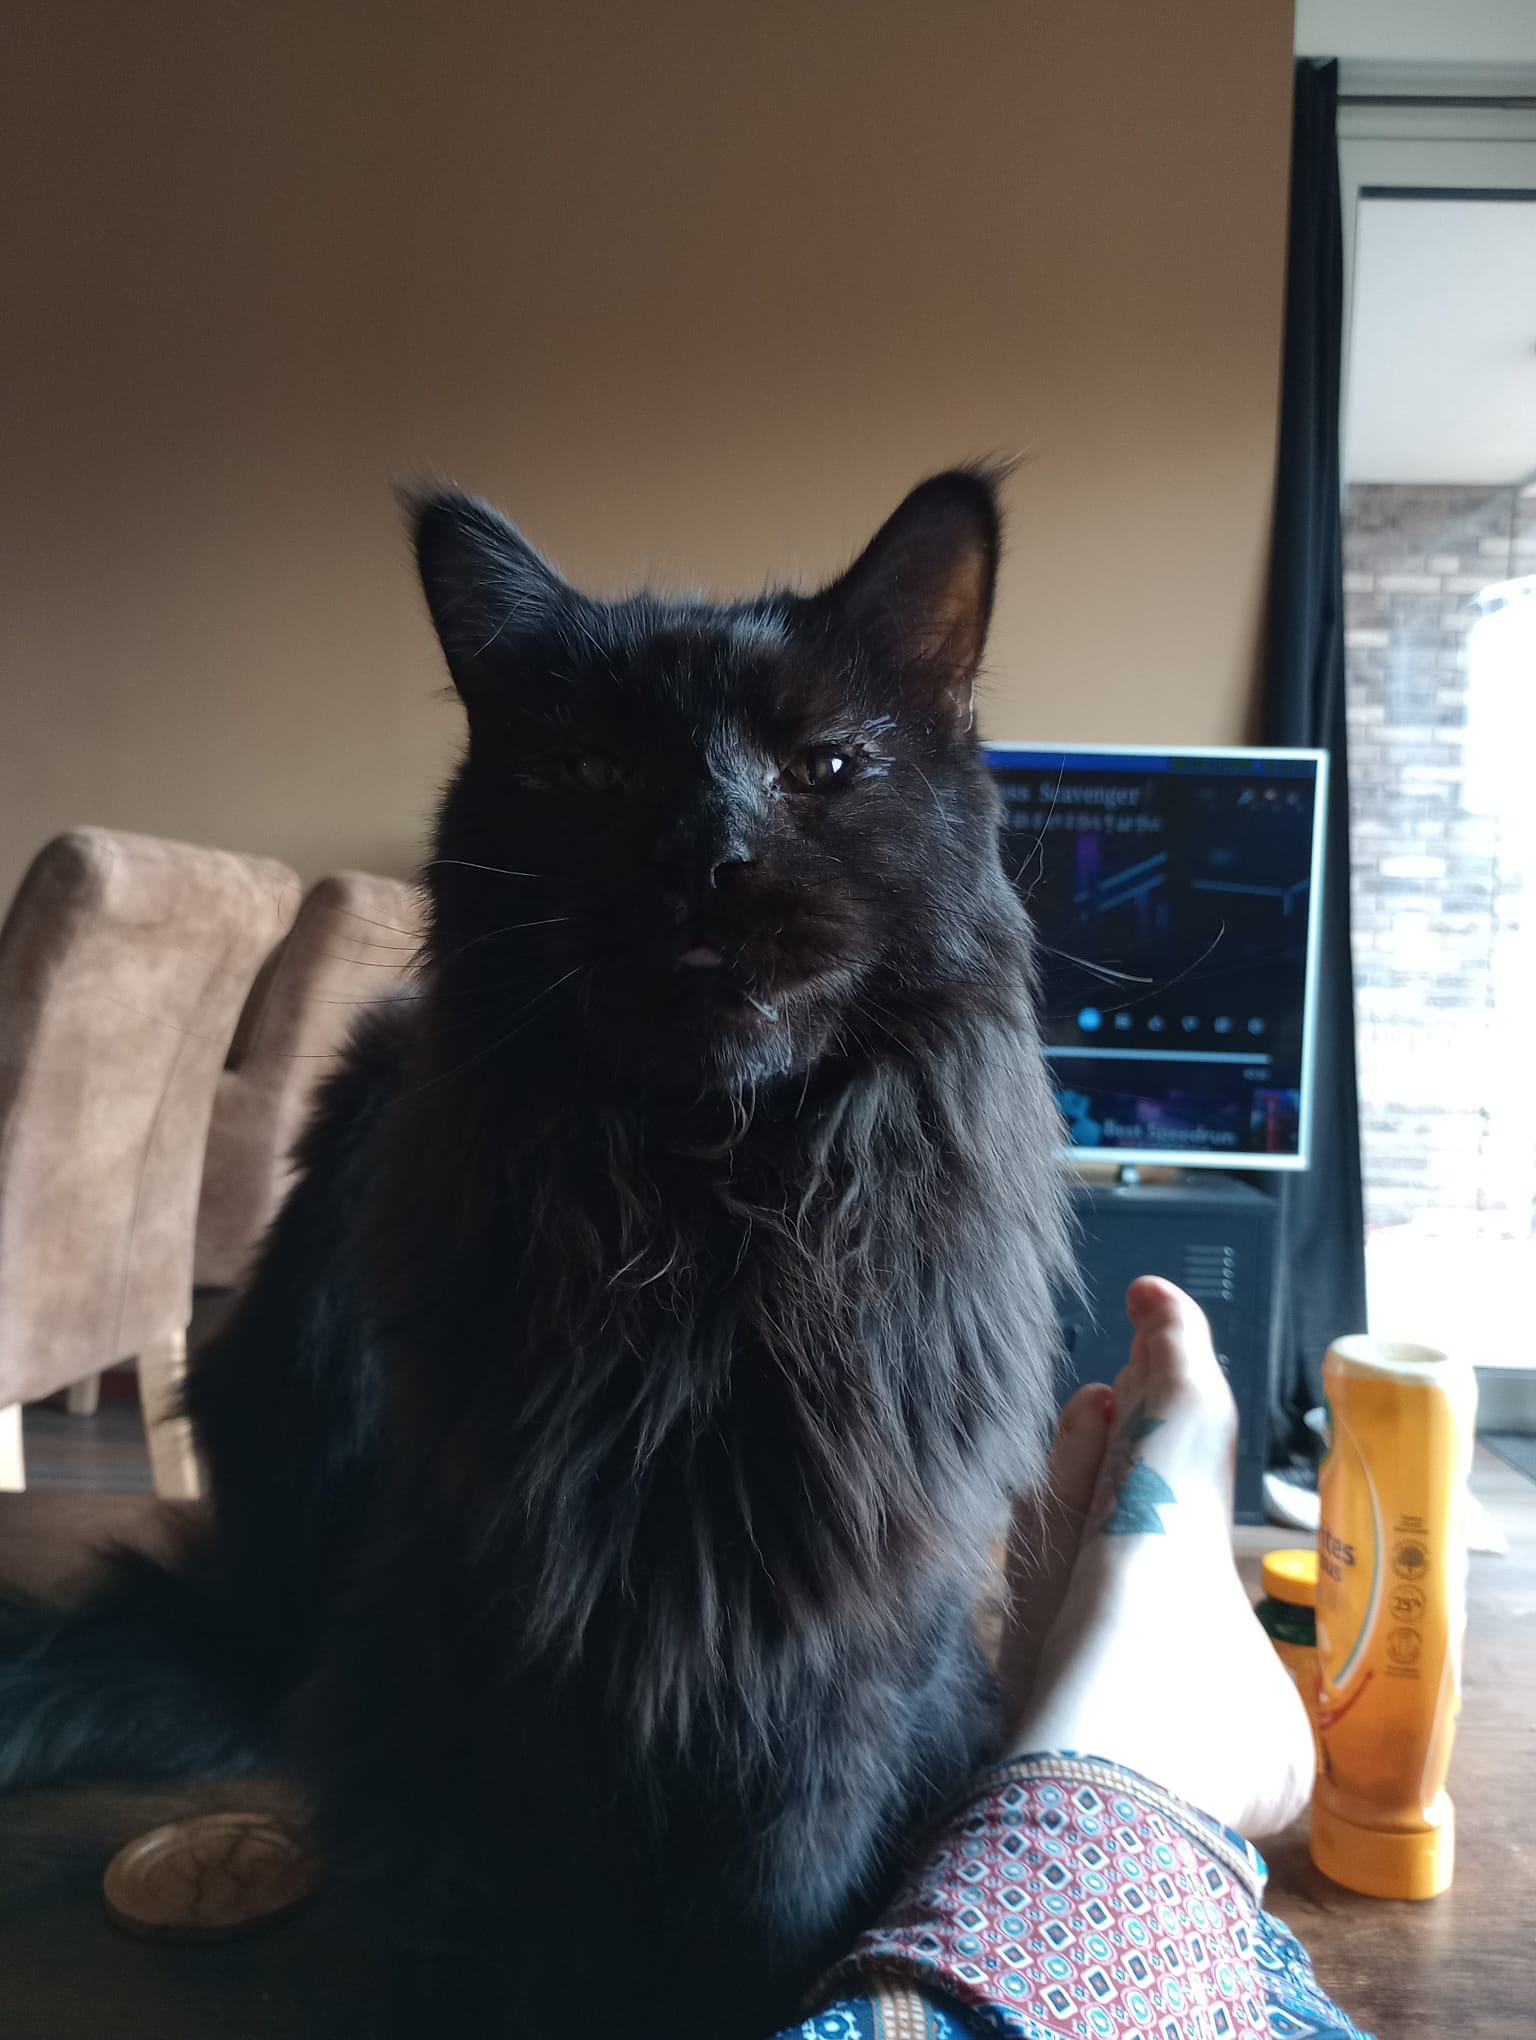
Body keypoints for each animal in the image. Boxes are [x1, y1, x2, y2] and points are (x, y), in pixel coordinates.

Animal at [0, 468, 1072, 2037]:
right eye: (596, 774)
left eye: (822, 767)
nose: (707, 861)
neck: (712, 1240)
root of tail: (255, 1627)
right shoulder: (529, 1645)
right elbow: (553, 1938)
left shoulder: (836, 1671)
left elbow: (774, 1916)